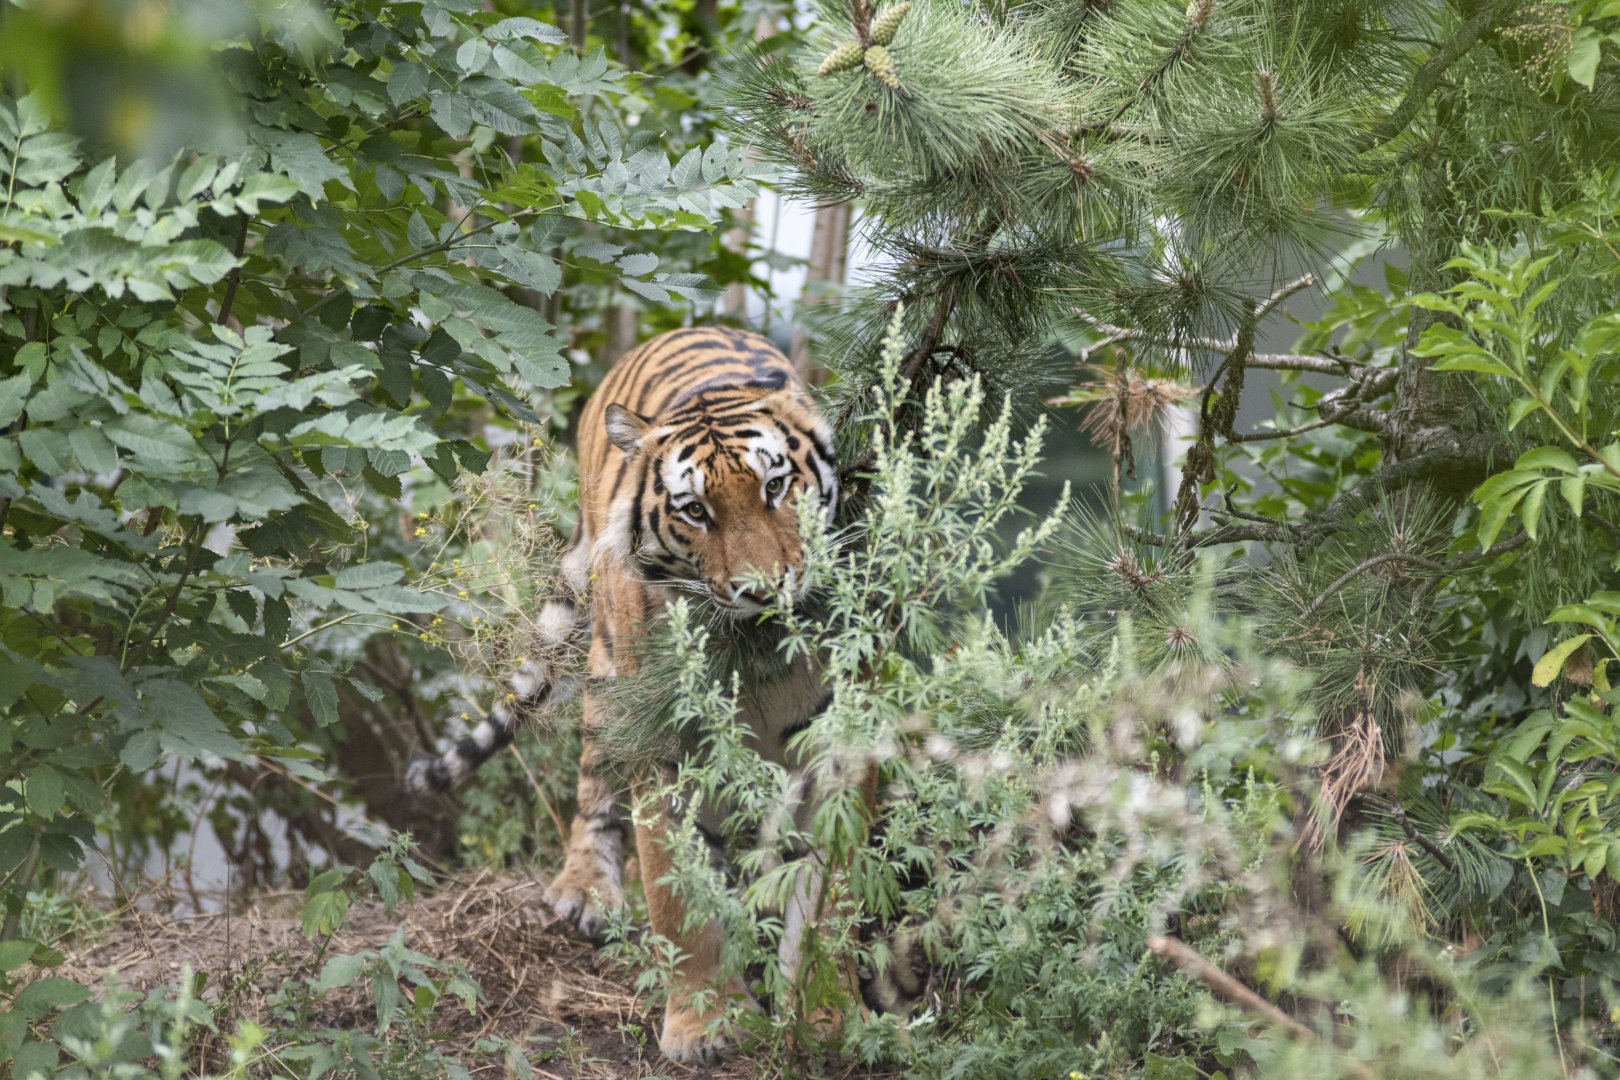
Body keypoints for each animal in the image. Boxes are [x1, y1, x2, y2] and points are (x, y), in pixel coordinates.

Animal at [405, 325, 847, 1064]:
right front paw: (702, 1024)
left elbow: (823, 899)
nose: (761, 591)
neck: (749, 657)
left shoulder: (833, 749)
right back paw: (586, 889)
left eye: (776, 485)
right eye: (695, 511)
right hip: (608, 678)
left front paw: (816, 1016)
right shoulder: (665, 751)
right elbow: (679, 897)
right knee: (593, 783)